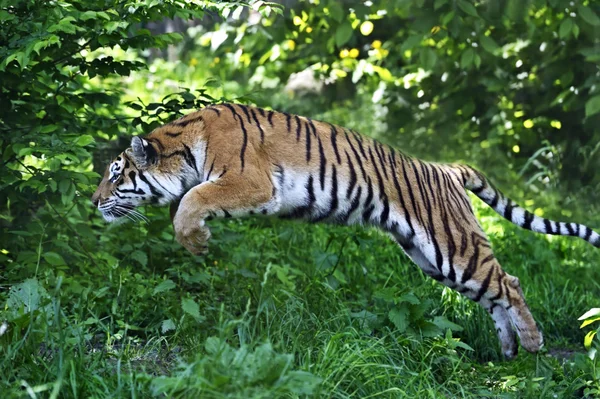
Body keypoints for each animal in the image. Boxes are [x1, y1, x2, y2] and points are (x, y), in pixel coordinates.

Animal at [91, 102, 596, 360]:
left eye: (115, 174)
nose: (93, 201)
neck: (185, 146)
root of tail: (446, 168)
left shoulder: (250, 182)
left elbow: (190, 201)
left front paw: (195, 242)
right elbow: (189, 199)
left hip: (453, 247)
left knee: (509, 283)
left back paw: (532, 343)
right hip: (433, 259)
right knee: (493, 293)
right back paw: (508, 350)